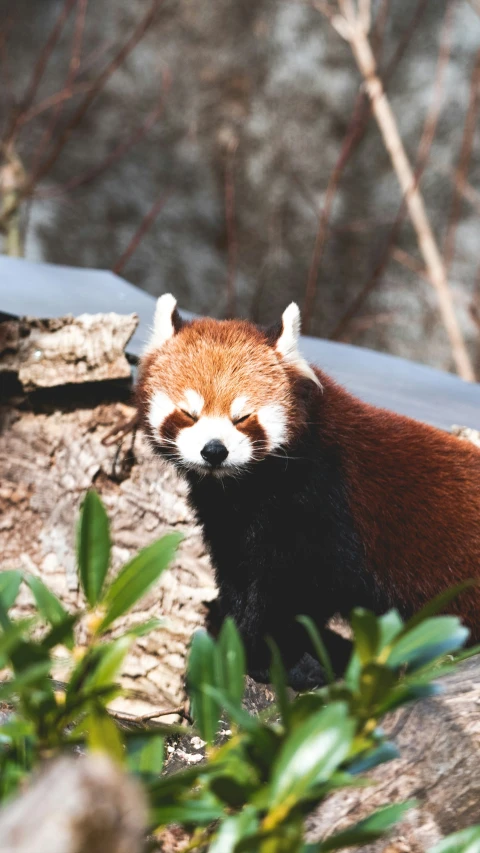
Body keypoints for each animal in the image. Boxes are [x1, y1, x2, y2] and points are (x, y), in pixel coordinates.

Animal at [136, 296, 480, 688]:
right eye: (189, 414)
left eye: (242, 417)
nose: (214, 450)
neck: (248, 486)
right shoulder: (231, 522)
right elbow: (239, 577)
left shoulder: (323, 505)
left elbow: (301, 590)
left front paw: (267, 656)